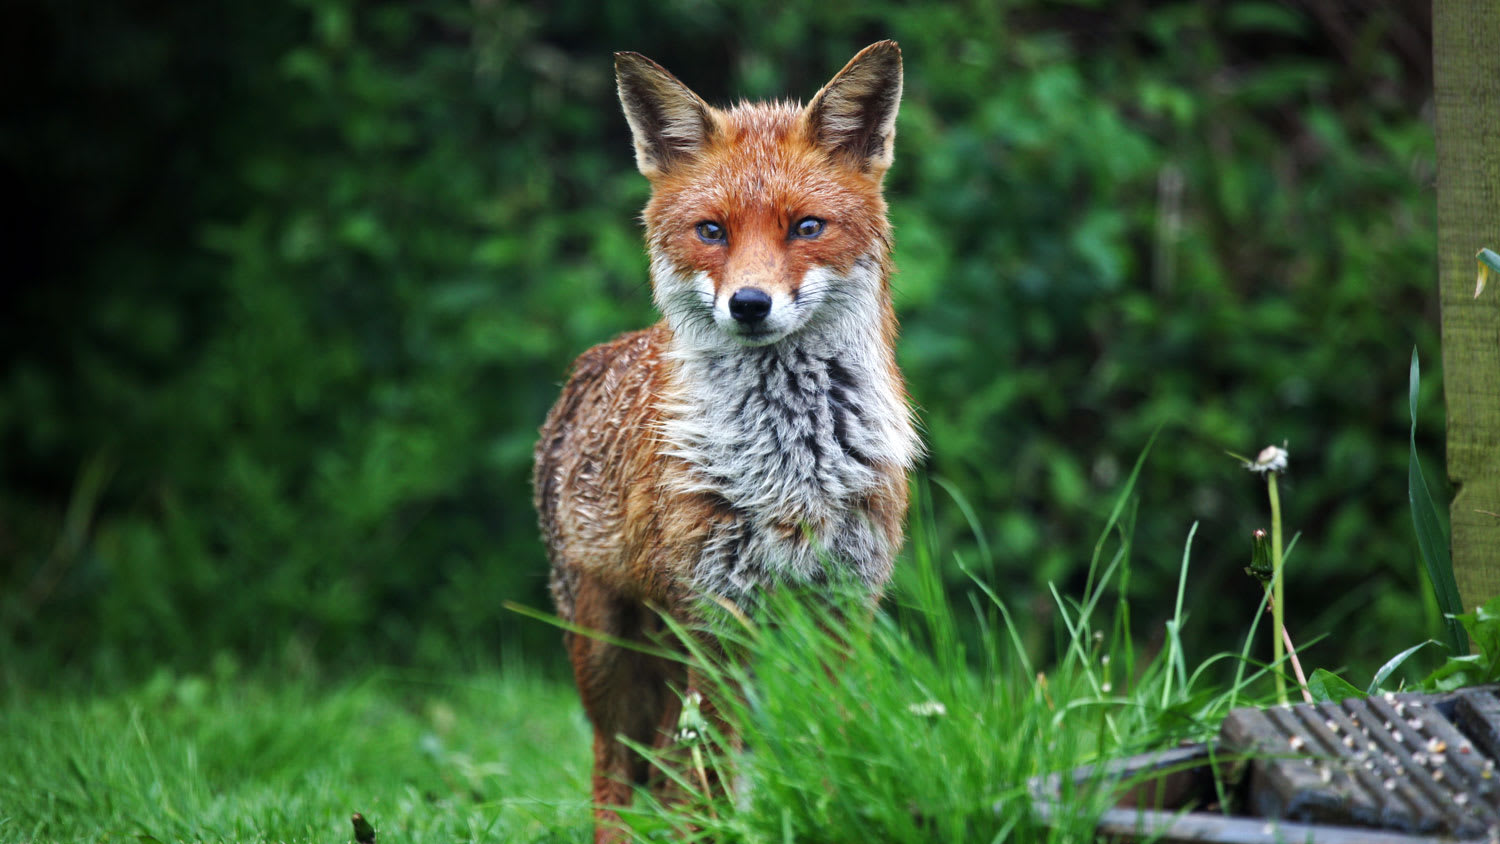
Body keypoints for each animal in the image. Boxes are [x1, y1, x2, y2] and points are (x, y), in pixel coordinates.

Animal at [533, 41, 920, 839]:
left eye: (807, 227)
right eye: (712, 231)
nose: (749, 304)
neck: (792, 467)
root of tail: (589, 364)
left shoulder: (846, 605)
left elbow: (833, 743)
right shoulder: (715, 612)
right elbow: (705, 773)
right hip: (605, 649)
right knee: (613, 769)